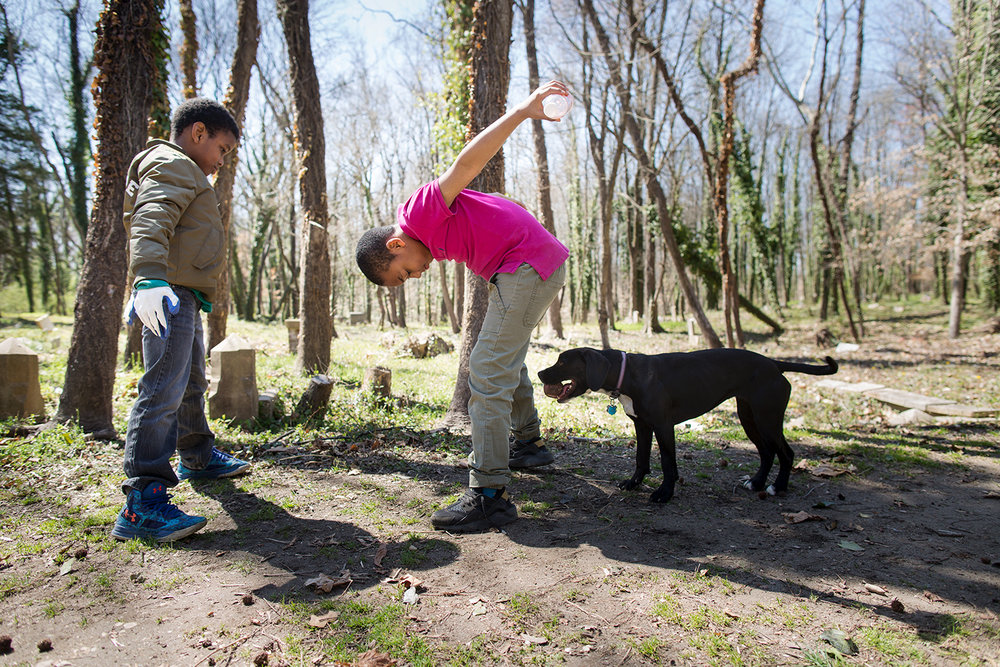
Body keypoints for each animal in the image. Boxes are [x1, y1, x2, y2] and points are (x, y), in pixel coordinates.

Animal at [540, 350, 836, 500]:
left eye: (563, 361)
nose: (541, 373)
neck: (628, 373)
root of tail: (774, 364)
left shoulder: (663, 426)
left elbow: (668, 462)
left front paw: (664, 493)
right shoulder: (642, 426)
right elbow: (641, 459)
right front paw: (634, 483)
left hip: (767, 418)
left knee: (786, 452)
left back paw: (779, 487)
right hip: (749, 417)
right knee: (767, 452)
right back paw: (757, 482)